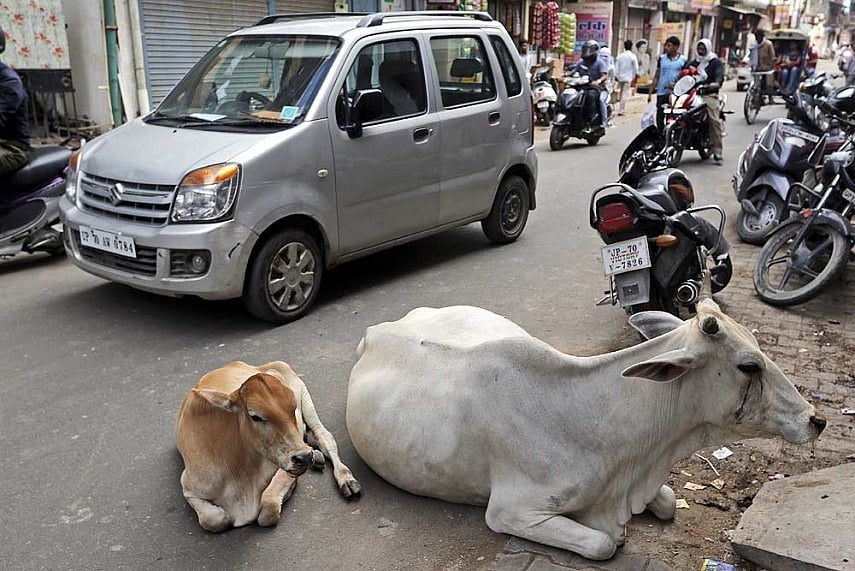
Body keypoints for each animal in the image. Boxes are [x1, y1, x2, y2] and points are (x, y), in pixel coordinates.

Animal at [177, 361, 361, 532]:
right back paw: (317, 457)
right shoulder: (188, 487)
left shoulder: (284, 465)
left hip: (305, 398)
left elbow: (268, 509)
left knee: (324, 437)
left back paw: (346, 479)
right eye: (255, 416)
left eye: (293, 408)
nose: (304, 457)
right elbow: (214, 520)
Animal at [346, 301, 826, 560]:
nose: (815, 419)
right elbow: (604, 544)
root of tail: (377, 329)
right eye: (749, 365)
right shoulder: (510, 511)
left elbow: (669, 501)